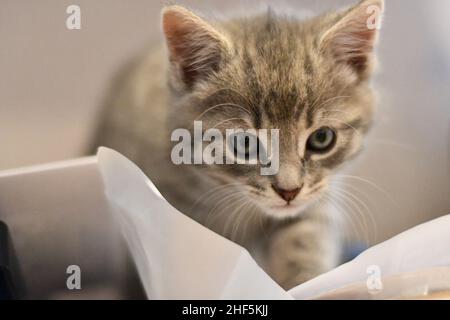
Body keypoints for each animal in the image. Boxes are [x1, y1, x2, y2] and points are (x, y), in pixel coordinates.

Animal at [91, 0, 384, 290]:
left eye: (321, 138)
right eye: (244, 143)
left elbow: (303, 240)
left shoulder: (314, 204)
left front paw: (305, 283)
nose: (289, 191)